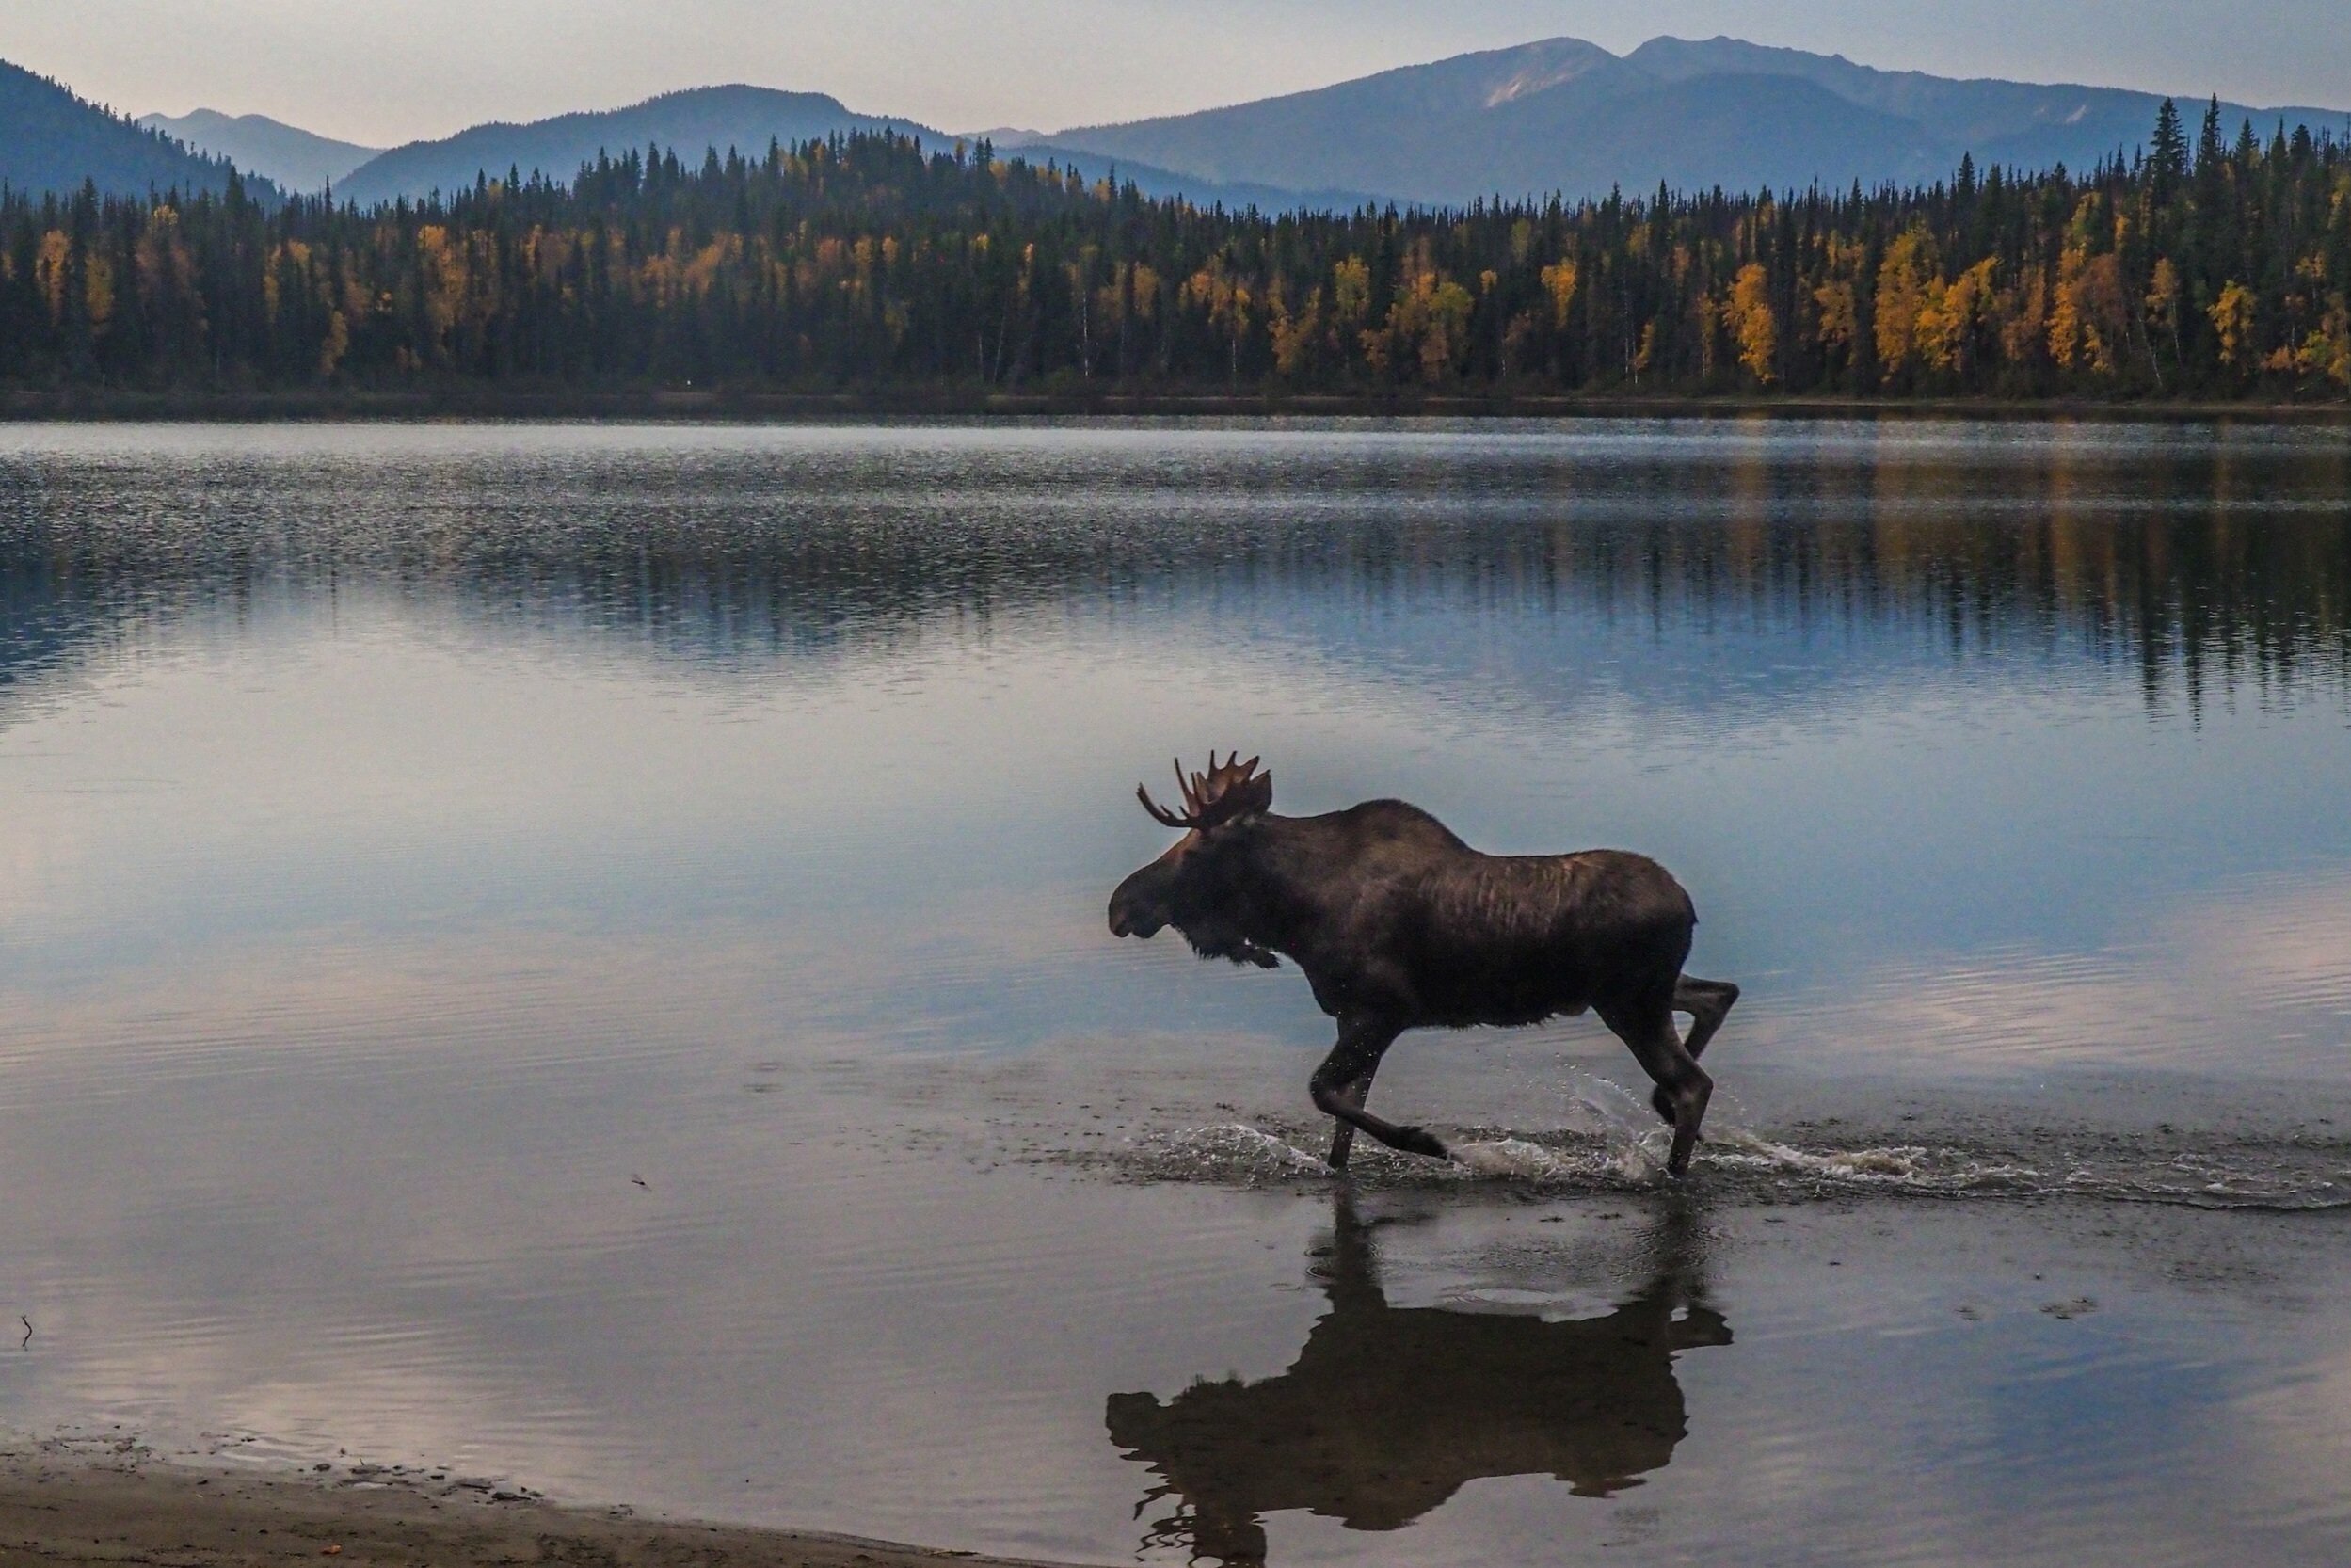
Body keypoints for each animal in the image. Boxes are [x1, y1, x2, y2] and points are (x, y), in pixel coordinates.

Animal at [1110, 757, 1739, 1175]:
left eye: (1196, 850)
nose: (1120, 906)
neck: (1294, 918)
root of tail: (1688, 906)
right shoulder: (1352, 1017)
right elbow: (1342, 1123)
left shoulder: (1384, 1010)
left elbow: (1323, 1092)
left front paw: (1427, 1142)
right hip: (1641, 993)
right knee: (1718, 995)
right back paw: (1661, 1110)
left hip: (1630, 1002)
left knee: (1694, 1083)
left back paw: (1672, 1167)